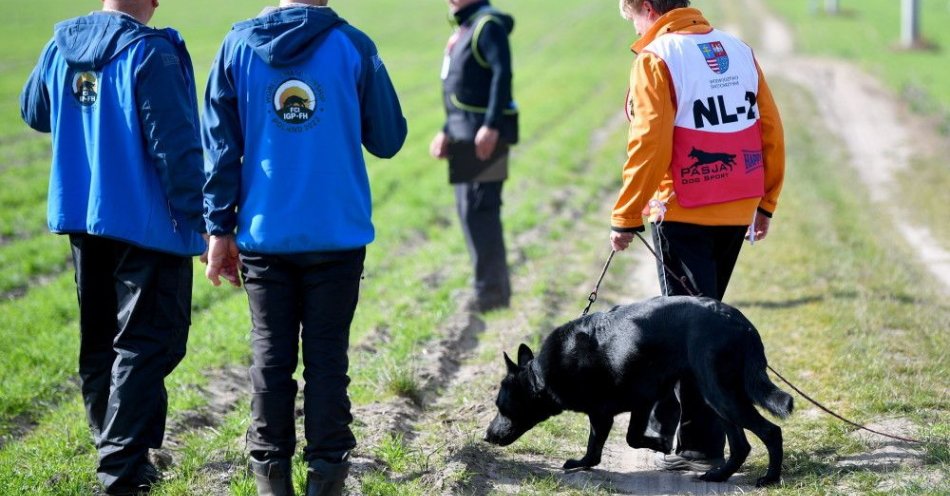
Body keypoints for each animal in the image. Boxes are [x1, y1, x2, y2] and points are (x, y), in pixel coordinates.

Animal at [488, 296, 792, 486]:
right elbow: (631, 437)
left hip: (721, 395)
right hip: (716, 398)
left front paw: (583, 462)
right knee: (741, 446)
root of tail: (740, 322)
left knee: (771, 432)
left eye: (502, 408)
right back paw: (718, 476)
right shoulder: (644, 400)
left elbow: (599, 446)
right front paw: (661, 443)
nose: (487, 436)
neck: (542, 374)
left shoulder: (602, 413)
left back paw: (770, 479)